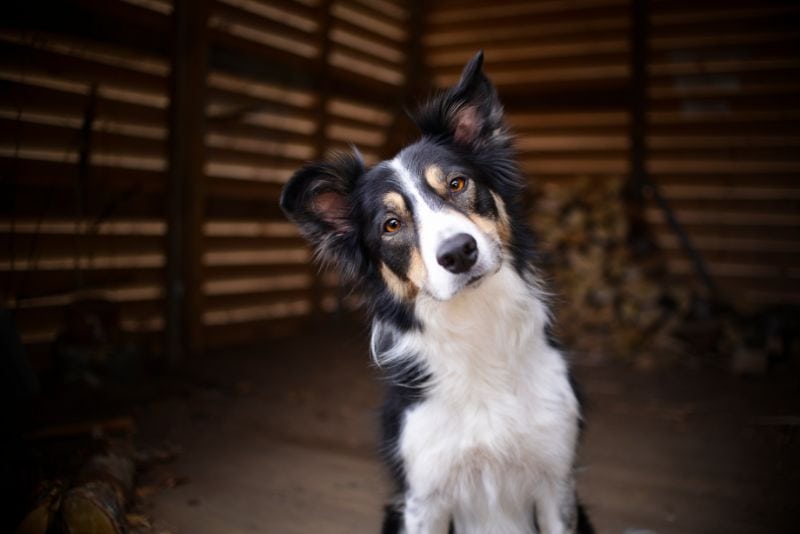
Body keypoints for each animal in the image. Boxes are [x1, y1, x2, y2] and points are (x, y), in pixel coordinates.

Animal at [278, 51, 592, 534]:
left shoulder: (556, 483)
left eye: (458, 184)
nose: (459, 252)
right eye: (391, 225)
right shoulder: (424, 497)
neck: (477, 328)